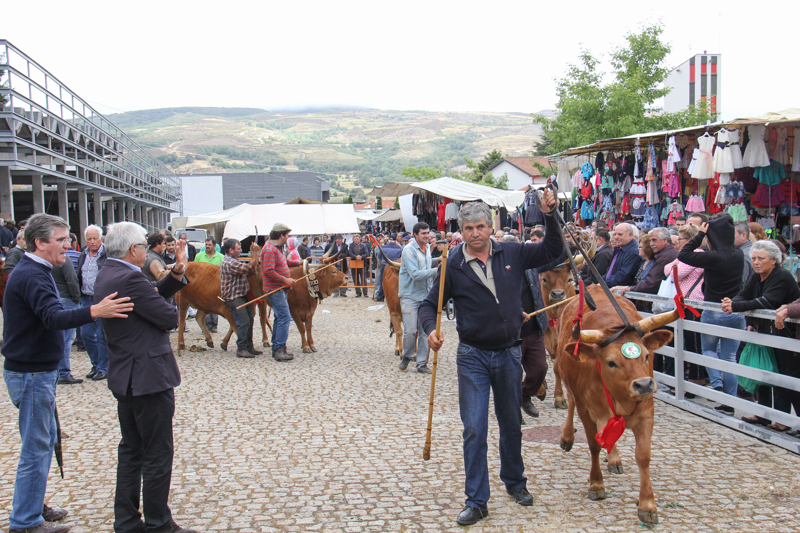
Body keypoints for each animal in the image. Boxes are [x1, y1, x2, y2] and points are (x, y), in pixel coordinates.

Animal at [560, 282, 680, 524]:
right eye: (611, 362)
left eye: (646, 355)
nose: (644, 384)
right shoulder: (586, 410)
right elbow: (594, 445)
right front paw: (596, 484)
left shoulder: (646, 413)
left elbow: (643, 456)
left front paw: (648, 505)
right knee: (571, 402)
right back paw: (567, 437)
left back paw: (613, 458)